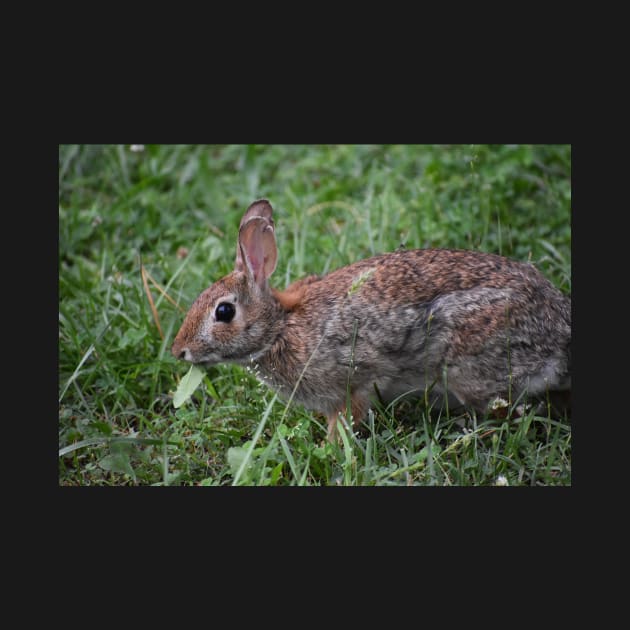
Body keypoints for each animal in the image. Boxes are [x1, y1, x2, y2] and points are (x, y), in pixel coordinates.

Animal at [172, 200, 572, 442]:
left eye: (224, 312)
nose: (179, 351)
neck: (280, 327)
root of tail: (560, 329)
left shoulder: (352, 382)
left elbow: (348, 416)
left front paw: (331, 447)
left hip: (471, 362)